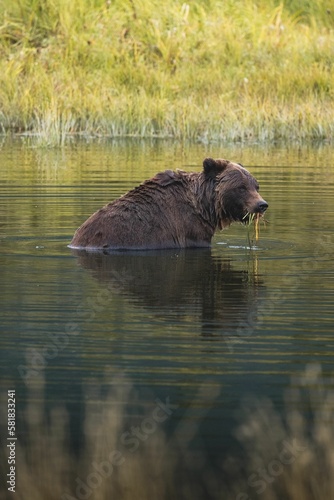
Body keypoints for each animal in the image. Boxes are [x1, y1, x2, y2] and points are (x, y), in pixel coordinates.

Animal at [69, 156, 268, 250]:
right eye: (241, 187)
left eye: (256, 185)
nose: (262, 204)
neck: (206, 208)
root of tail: (76, 240)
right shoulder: (191, 229)